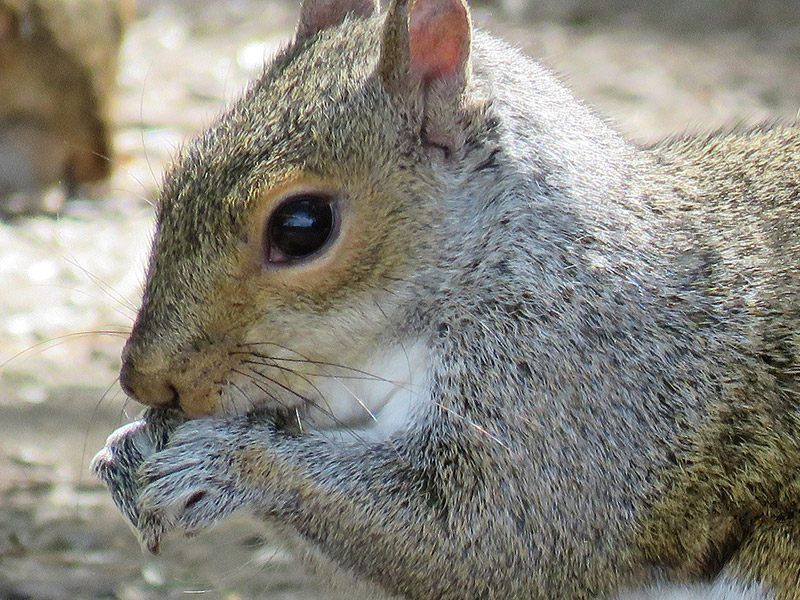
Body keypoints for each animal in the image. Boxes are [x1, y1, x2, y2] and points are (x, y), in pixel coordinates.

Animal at [89, 0, 800, 596]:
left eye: (302, 226)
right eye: (179, 174)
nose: (145, 379)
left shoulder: (590, 396)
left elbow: (483, 534)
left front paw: (229, 462)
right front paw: (128, 449)